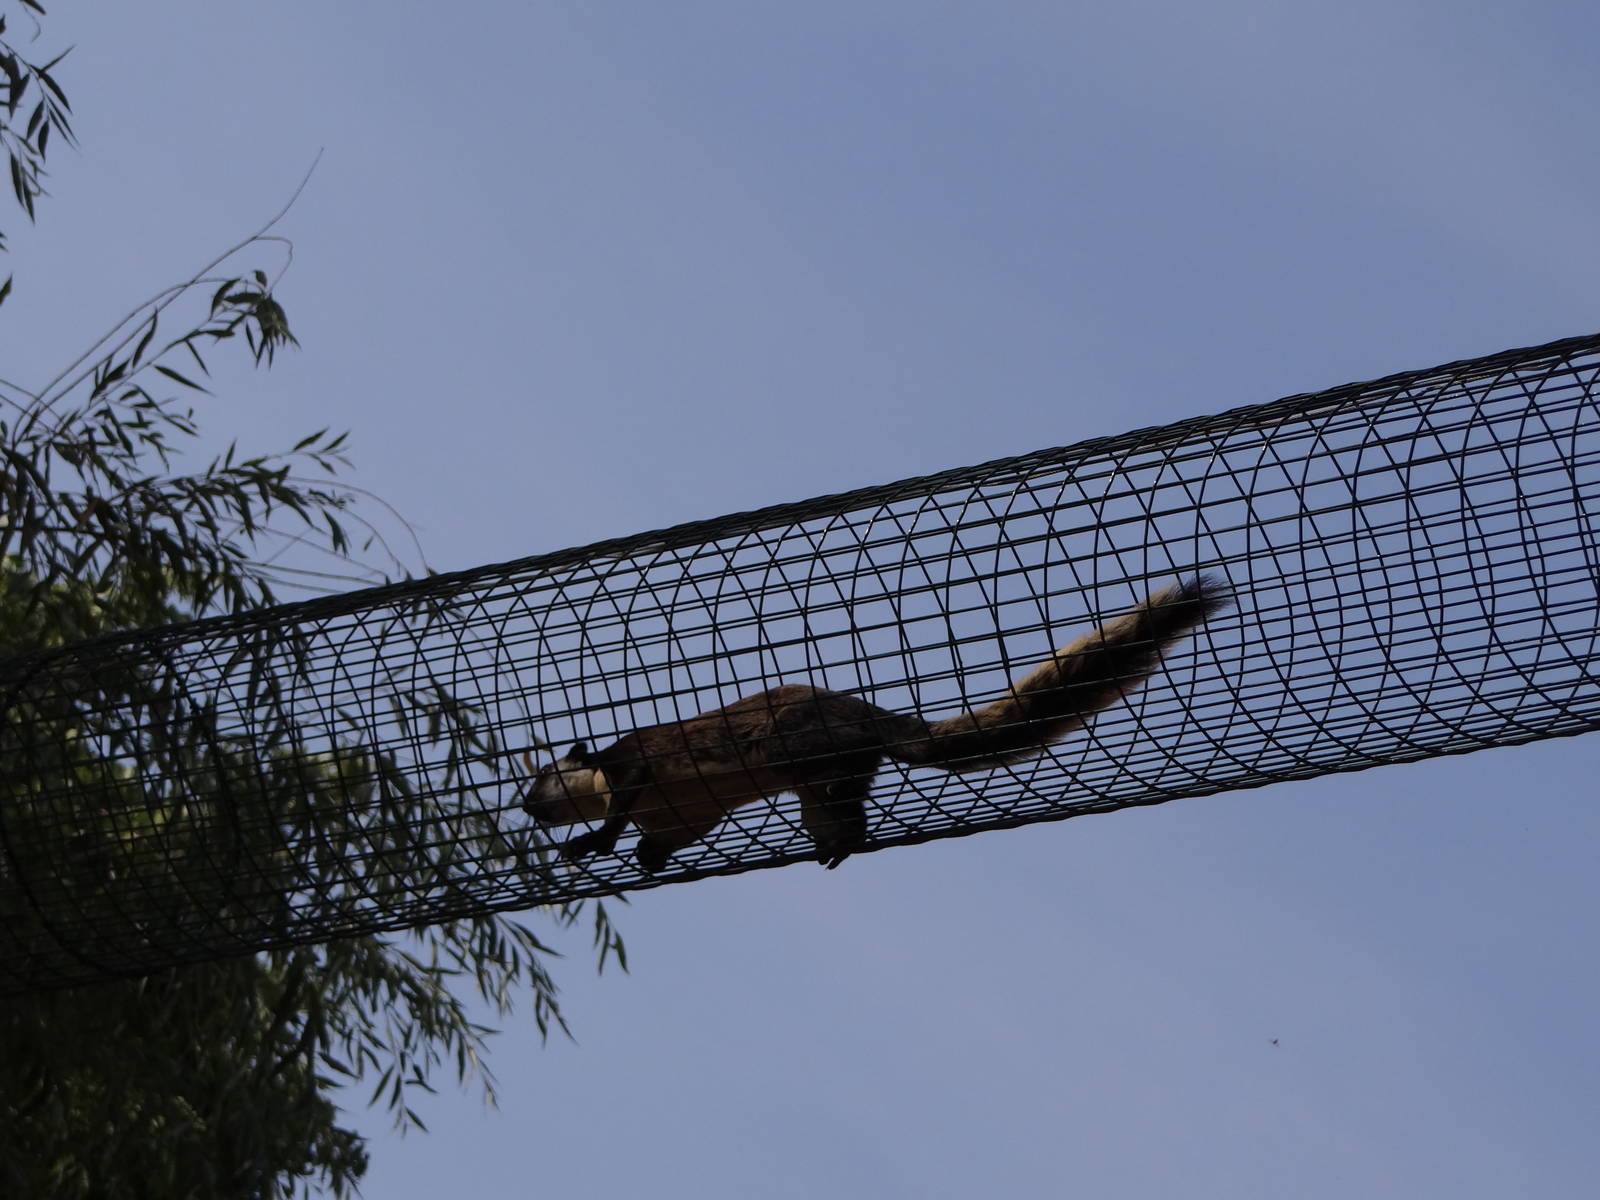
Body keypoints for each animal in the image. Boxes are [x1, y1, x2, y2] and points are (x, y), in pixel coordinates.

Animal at [522, 574, 1230, 872]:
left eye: (538, 780)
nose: (527, 808)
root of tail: (865, 715)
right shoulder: (688, 814)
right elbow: (667, 838)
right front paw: (644, 856)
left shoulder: (634, 761)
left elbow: (620, 804)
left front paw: (590, 844)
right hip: (814, 790)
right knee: (842, 808)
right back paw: (835, 846)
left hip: (794, 746)